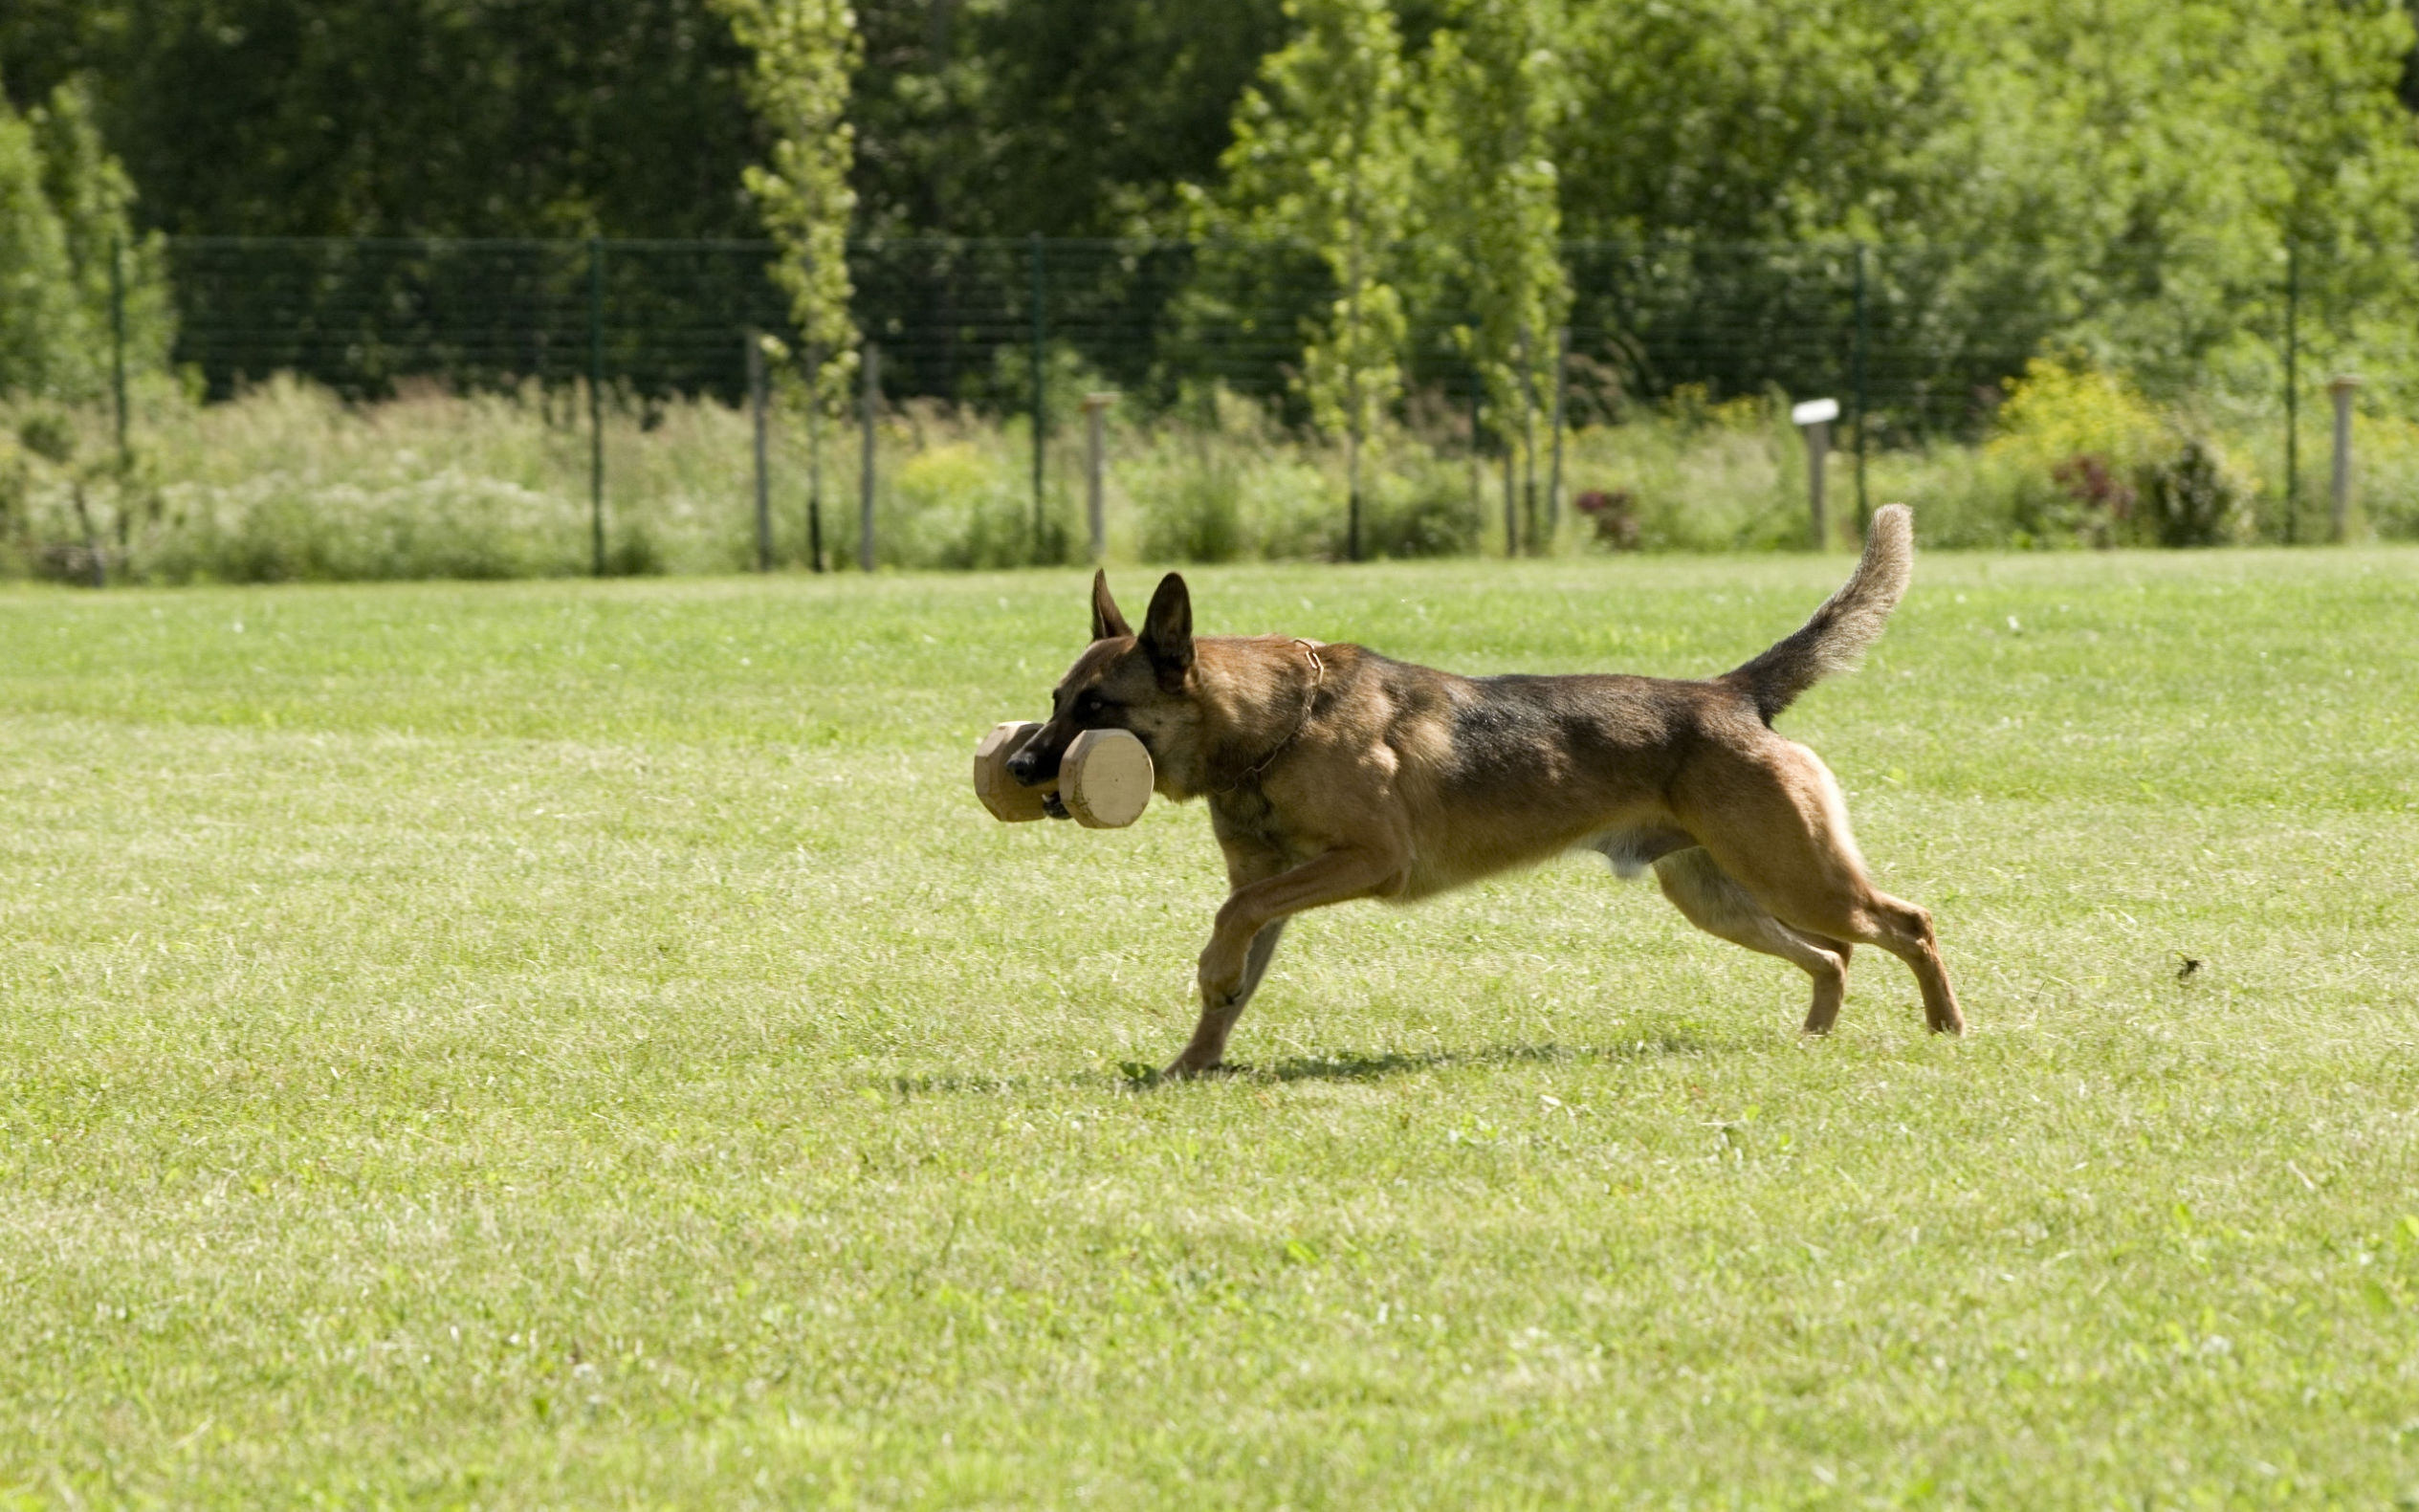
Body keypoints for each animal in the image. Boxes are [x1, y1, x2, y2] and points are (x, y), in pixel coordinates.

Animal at [1001, 508, 1964, 1074]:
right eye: (1054, 700)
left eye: (1096, 708)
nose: (1015, 769)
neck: (1275, 727)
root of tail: (1731, 693)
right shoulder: (1271, 884)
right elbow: (1235, 964)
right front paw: (1189, 1063)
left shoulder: (1368, 861)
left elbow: (1226, 922)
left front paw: (1207, 980)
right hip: (1721, 895)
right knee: (1833, 957)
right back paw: (1814, 1036)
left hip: (1799, 876)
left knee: (1906, 923)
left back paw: (1946, 1027)